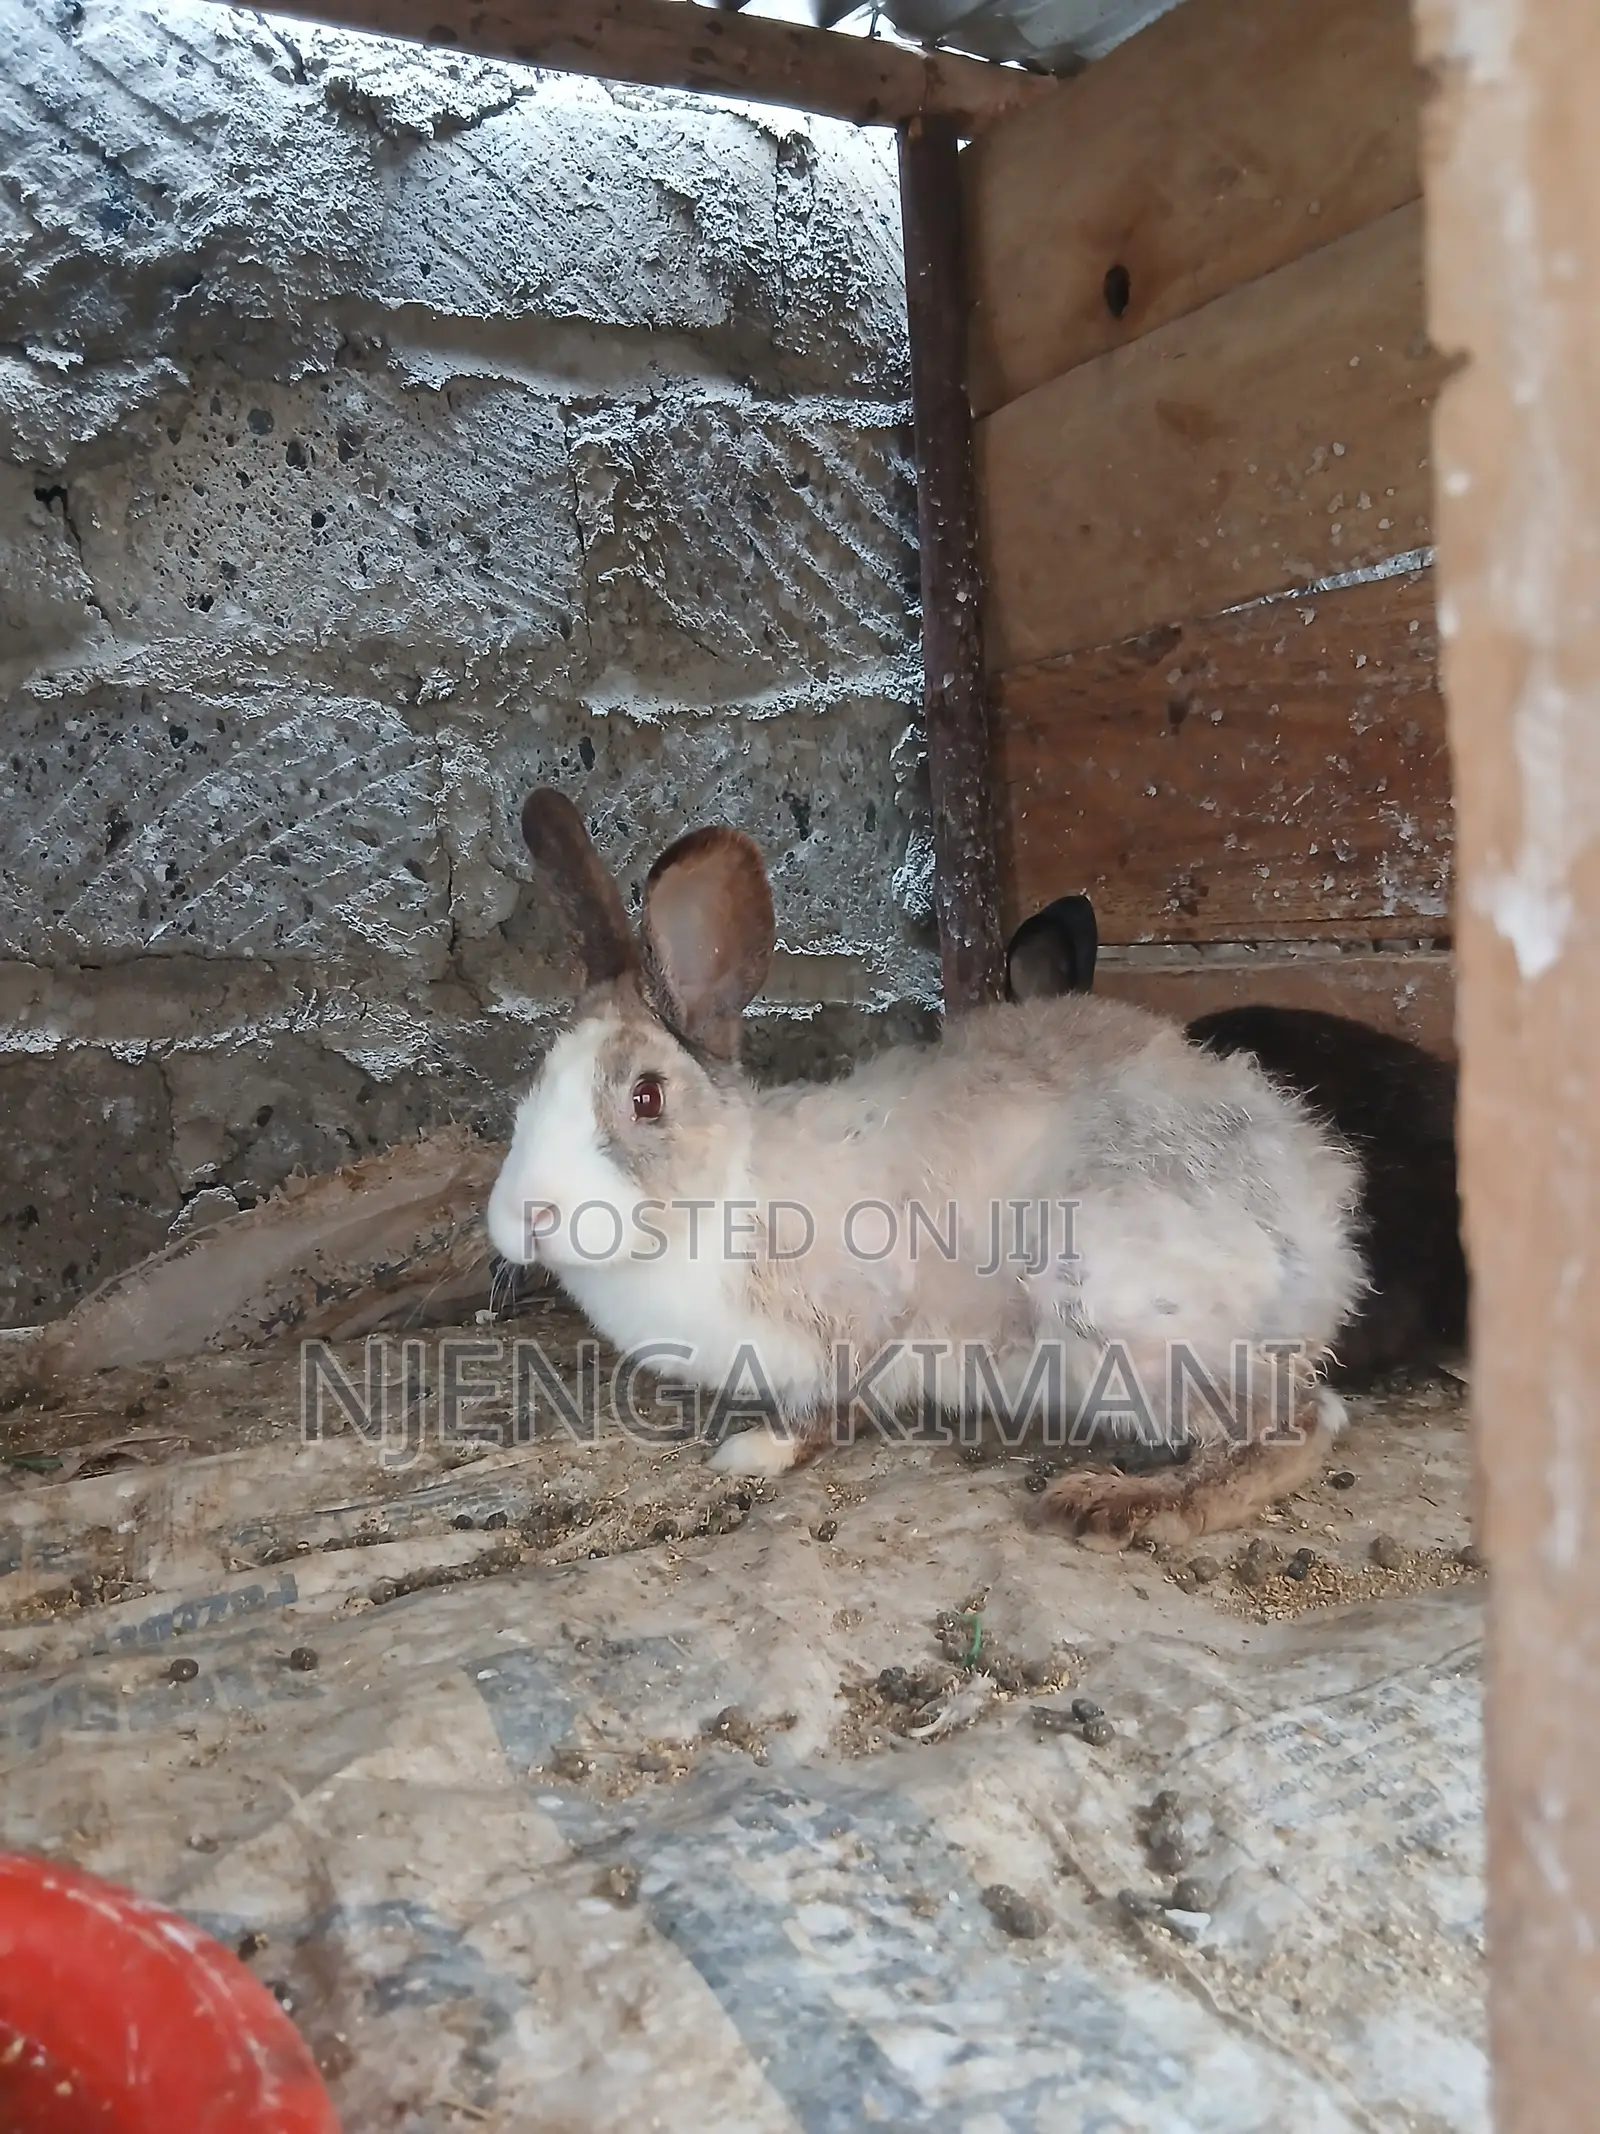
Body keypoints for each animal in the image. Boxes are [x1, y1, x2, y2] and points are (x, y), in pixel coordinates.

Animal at [486, 790, 1367, 1548]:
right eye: (534, 1081)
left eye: (646, 1097)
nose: (526, 1216)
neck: (727, 1193)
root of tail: (1320, 1222)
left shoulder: (862, 1321)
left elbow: (829, 1406)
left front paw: (752, 1453)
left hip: (1108, 1300)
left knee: (1297, 1424)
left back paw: (1121, 1504)